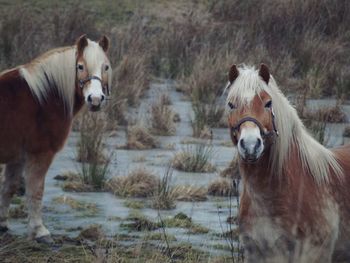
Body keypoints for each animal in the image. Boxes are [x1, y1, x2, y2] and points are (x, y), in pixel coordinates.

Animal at [0, 35, 111, 245]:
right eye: (80, 66)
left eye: (106, 66)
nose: (95, 99)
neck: (42, 98)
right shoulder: (40, 154)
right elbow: (36, 191)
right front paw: (40, 232)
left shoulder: (17, 157)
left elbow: (8, 189)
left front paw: (2, 225)